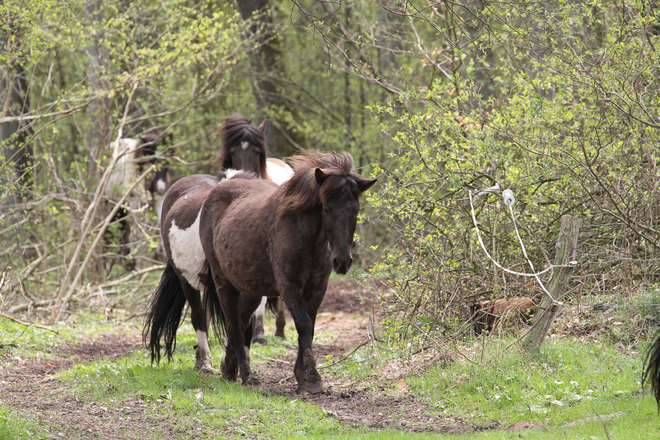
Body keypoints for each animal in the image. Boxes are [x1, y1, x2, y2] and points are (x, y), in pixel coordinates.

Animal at [146, 115, 292, 372]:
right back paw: (204, 362)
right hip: (187, 279)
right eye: (232, 151)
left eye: (257, 151)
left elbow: (243, 322)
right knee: (198, 316)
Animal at [201, 151, 376, 392]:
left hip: (252, 290)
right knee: (233, 326)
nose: (342, 262)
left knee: (241, 322)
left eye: (356, 210)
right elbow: (303, 324)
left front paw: (302, 375)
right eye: (326, 209)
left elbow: (310, 327)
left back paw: (228, 370)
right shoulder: (288, 286)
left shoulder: (318, 288)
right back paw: (247, 376)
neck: (307, 239)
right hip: (224, 283)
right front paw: (311, 378)